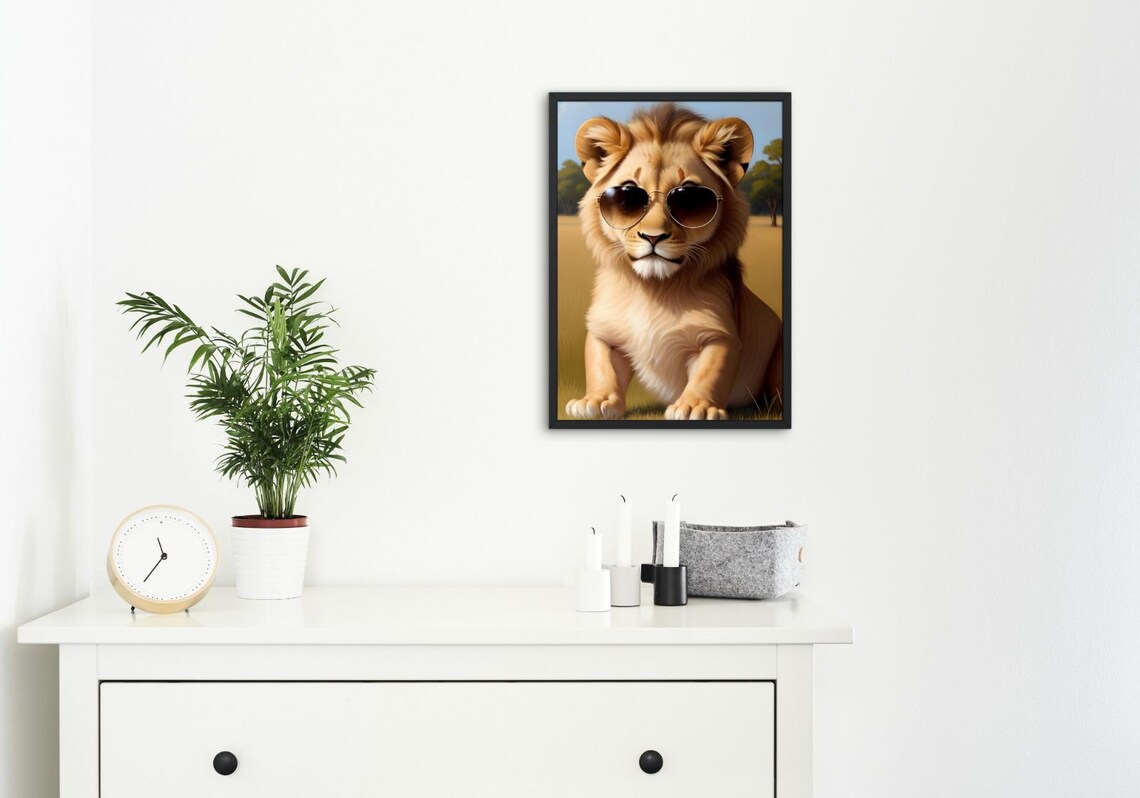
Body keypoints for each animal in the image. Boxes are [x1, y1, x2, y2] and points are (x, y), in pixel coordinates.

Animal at [564, 103, 783, 421]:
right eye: (628, 197)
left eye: (689, 199)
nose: (653, 236)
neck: (653, 290)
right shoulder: (603, 330)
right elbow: (600, 364)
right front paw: (596, 400)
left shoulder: (720, 334)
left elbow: (710, 371)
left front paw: (695, 406)